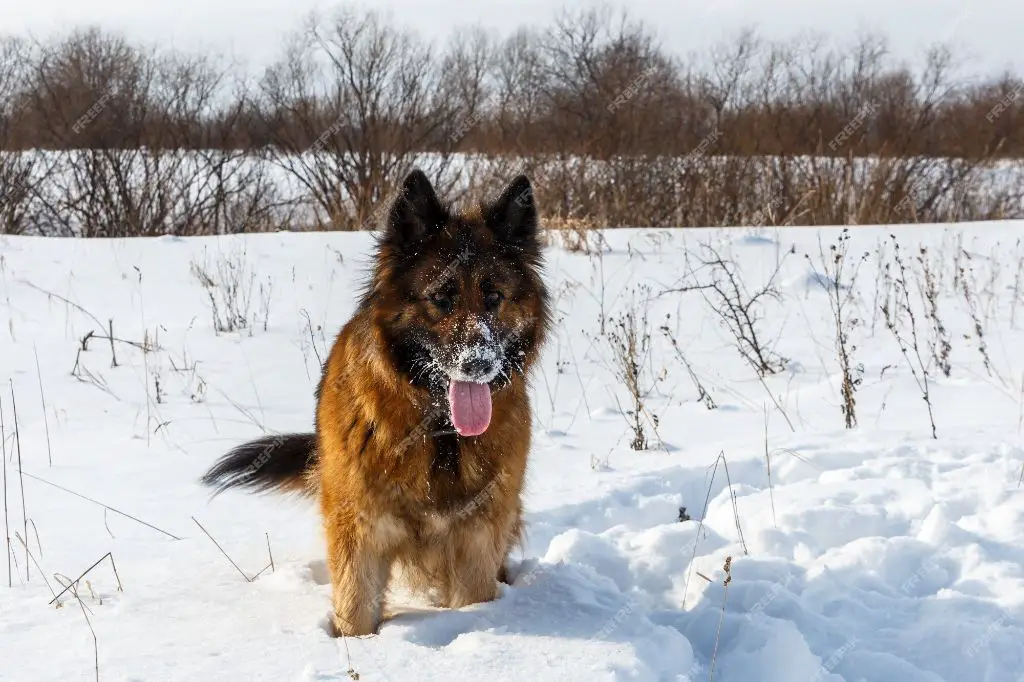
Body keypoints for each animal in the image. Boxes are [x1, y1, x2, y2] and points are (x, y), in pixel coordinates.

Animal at [200, 166, 552, 634]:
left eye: (494, 297)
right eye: (441, 298)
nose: (478, 364)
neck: (437, 433)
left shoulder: (476, 541)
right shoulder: (359, 535)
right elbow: (356, 614)